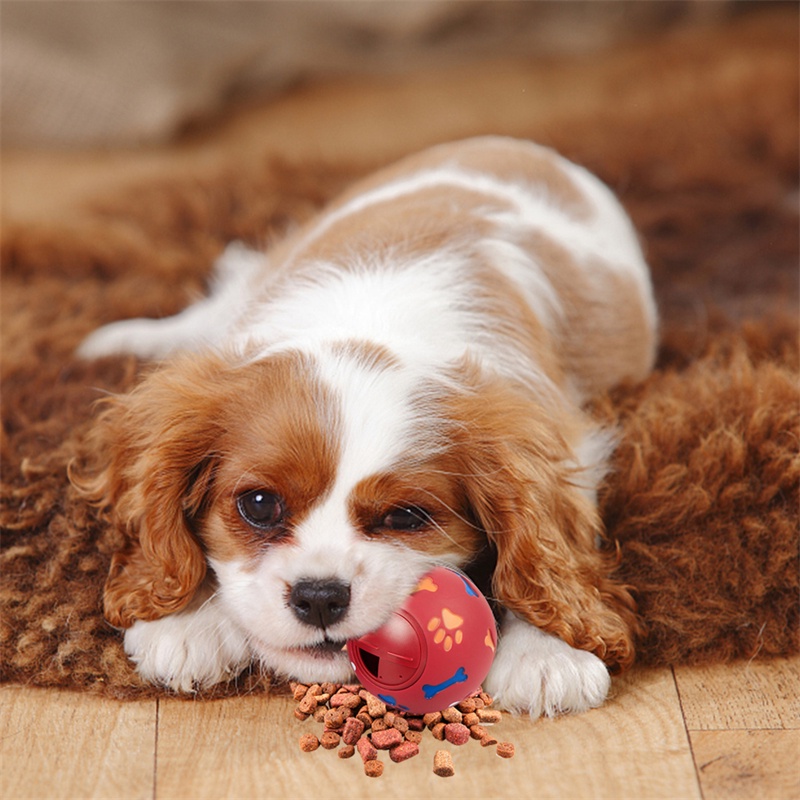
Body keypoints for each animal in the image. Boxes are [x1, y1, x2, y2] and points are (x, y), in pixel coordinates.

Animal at [78, 134, 660, 716]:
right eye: (259, 505)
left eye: (405, 516)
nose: (319, 596)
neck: (370, 320)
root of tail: (511, 144)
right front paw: (188, 620)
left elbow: (549, 546)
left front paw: (549, 651)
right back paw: (117, 342)